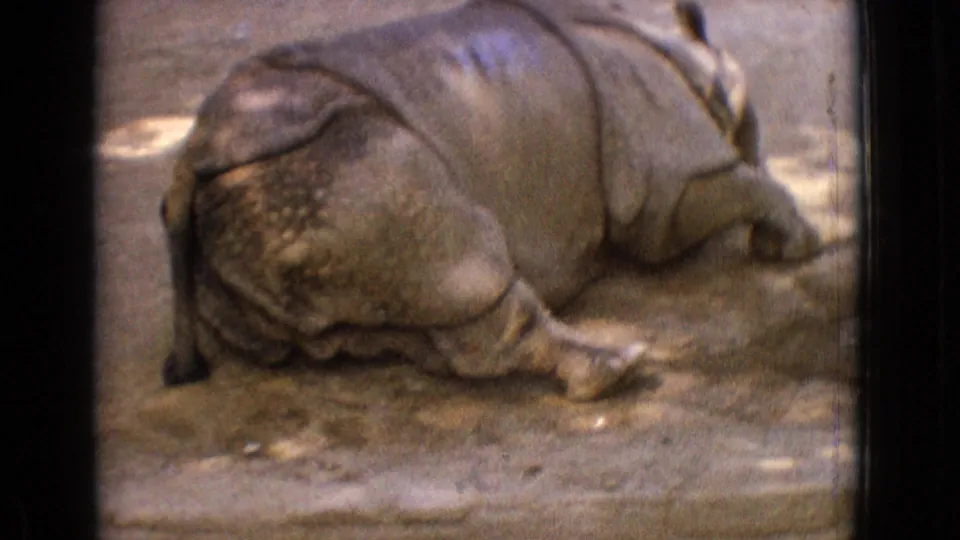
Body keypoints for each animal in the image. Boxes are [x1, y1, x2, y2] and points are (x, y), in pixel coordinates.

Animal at [160, 0, 822, 401]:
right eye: (754, 130)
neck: (692, 58)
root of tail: (193, 157)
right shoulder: (671, 177)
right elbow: (739, 184)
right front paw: (798, 245)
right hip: (333, 160)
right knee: (463, 256)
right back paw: (622, 367)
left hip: (276, 192)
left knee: (414, 306)